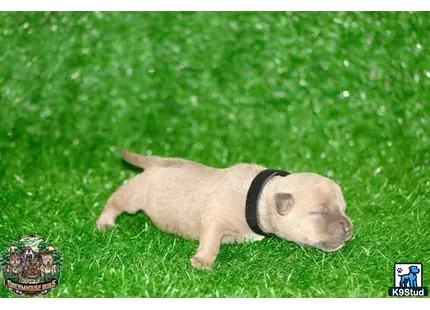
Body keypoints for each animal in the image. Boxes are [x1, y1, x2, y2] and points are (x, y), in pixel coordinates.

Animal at [97, 149, 352, 268]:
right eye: (319, 213)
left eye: (344, 209)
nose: (349, 228)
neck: (258, 198)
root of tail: (157, 161)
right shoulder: (214, 219)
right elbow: (210, 241)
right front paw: (202, 261)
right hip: (135, 195)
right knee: (116, 201)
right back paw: (105, 222)